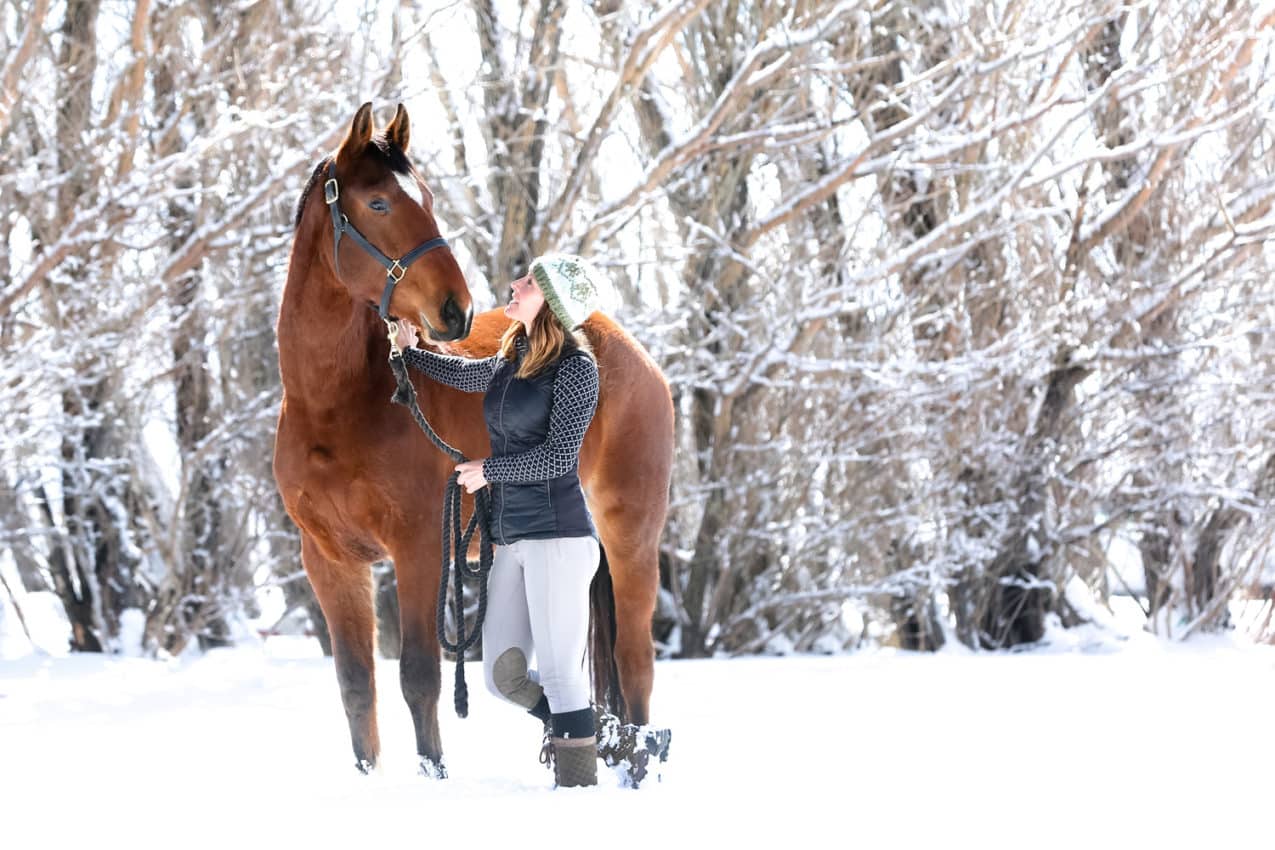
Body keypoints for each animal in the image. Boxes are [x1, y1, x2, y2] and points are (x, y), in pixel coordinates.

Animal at [274, 103, 673, 774]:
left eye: (428, 197)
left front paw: (434, 776)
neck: (333, 408)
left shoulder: (418, 551)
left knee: (636, 662)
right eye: (378, 202)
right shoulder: (329, 562)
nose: (453, 309)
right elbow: (357, 688)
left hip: (632, 536)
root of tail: (623, 344)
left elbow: (419, 679)